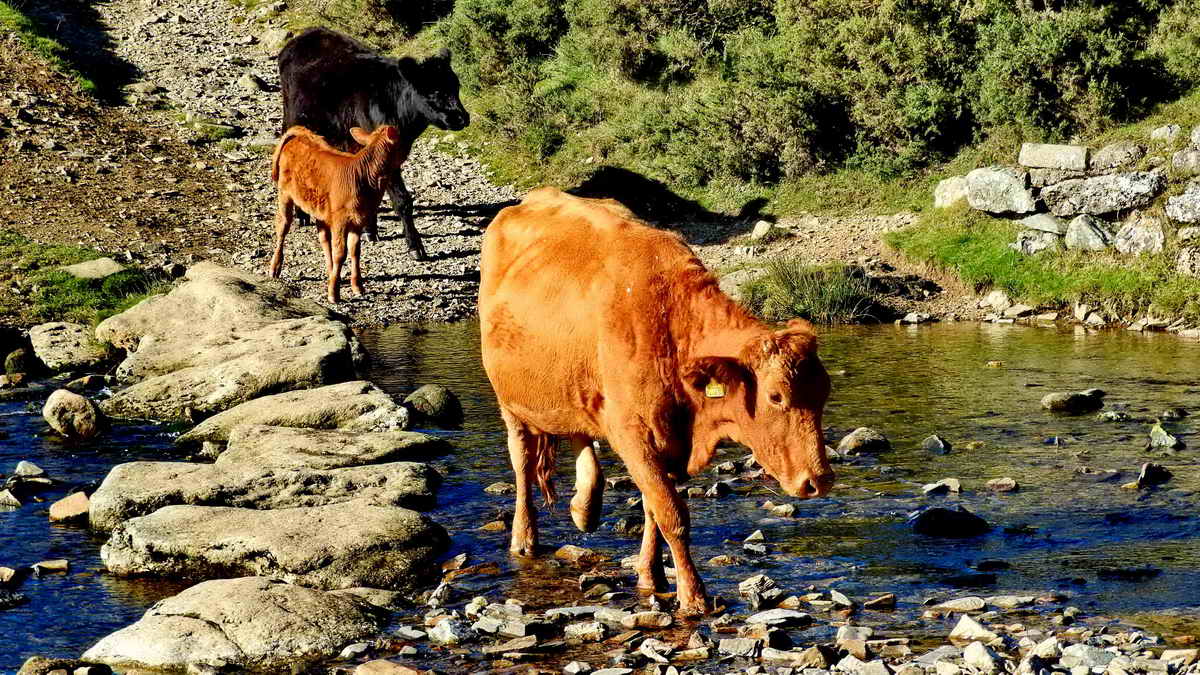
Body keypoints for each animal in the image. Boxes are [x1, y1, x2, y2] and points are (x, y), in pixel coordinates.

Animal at [268, 124, 403, 302]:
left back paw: (331, 272)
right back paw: (275, 268)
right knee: (282, 227)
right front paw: (334, 293)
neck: (364, 177)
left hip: (320, 209)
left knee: (323, 238)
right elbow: (340, 252)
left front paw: (357, 286)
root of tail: (299, 136)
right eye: (401, 142)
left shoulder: (359, 220)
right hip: (285, 195)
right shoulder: (341, 220)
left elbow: (355, 251)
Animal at [278, 27, 470, 257]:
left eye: (456, 86)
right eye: (434, 91)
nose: (461, 118)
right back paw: (302, 214)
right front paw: (415, 246)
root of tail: (305, 35)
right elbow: (402, 200)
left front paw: (370, 229)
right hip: (293, 117)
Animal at [477, 186, 835, 612]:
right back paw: (525, 537)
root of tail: (531, 198)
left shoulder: (667, 440)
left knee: (580, 432)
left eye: (824, 394)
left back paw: (584, 506)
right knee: (523, 464)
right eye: (776, 396)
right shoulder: (634, 435)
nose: (819, 480)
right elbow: (671, 514)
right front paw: (693, 596)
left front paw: (652, 576)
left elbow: (652, 508)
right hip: (509, 403)